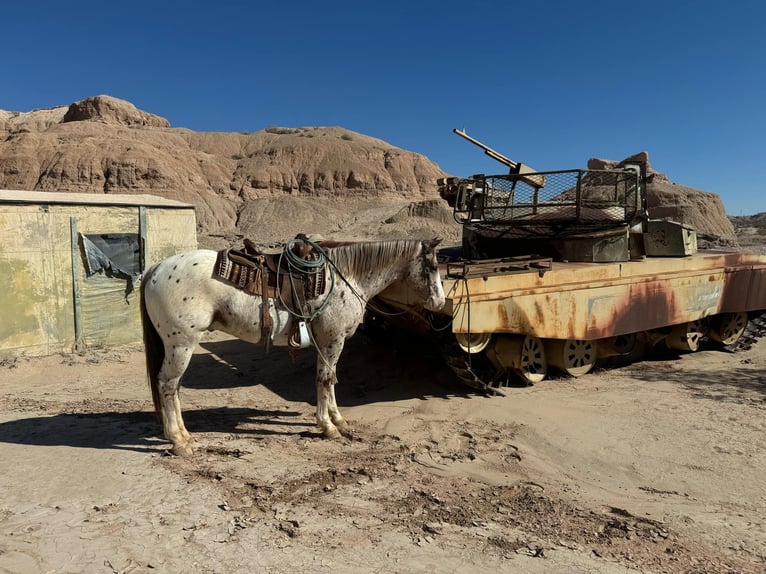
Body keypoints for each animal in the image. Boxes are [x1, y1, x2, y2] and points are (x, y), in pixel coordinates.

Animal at [140, 237, 445, 456]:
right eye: (431, 267)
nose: (440, 303)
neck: (346, 278)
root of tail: (156, 269)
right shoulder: (332, 340)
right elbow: (324, 379)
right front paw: (328, 426)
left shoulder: (330, 342)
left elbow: (331, 379)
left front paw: (338, 419)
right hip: (181, 345)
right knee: (167, 385)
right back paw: (179, 441)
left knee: (173, 387)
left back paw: (182, 434)